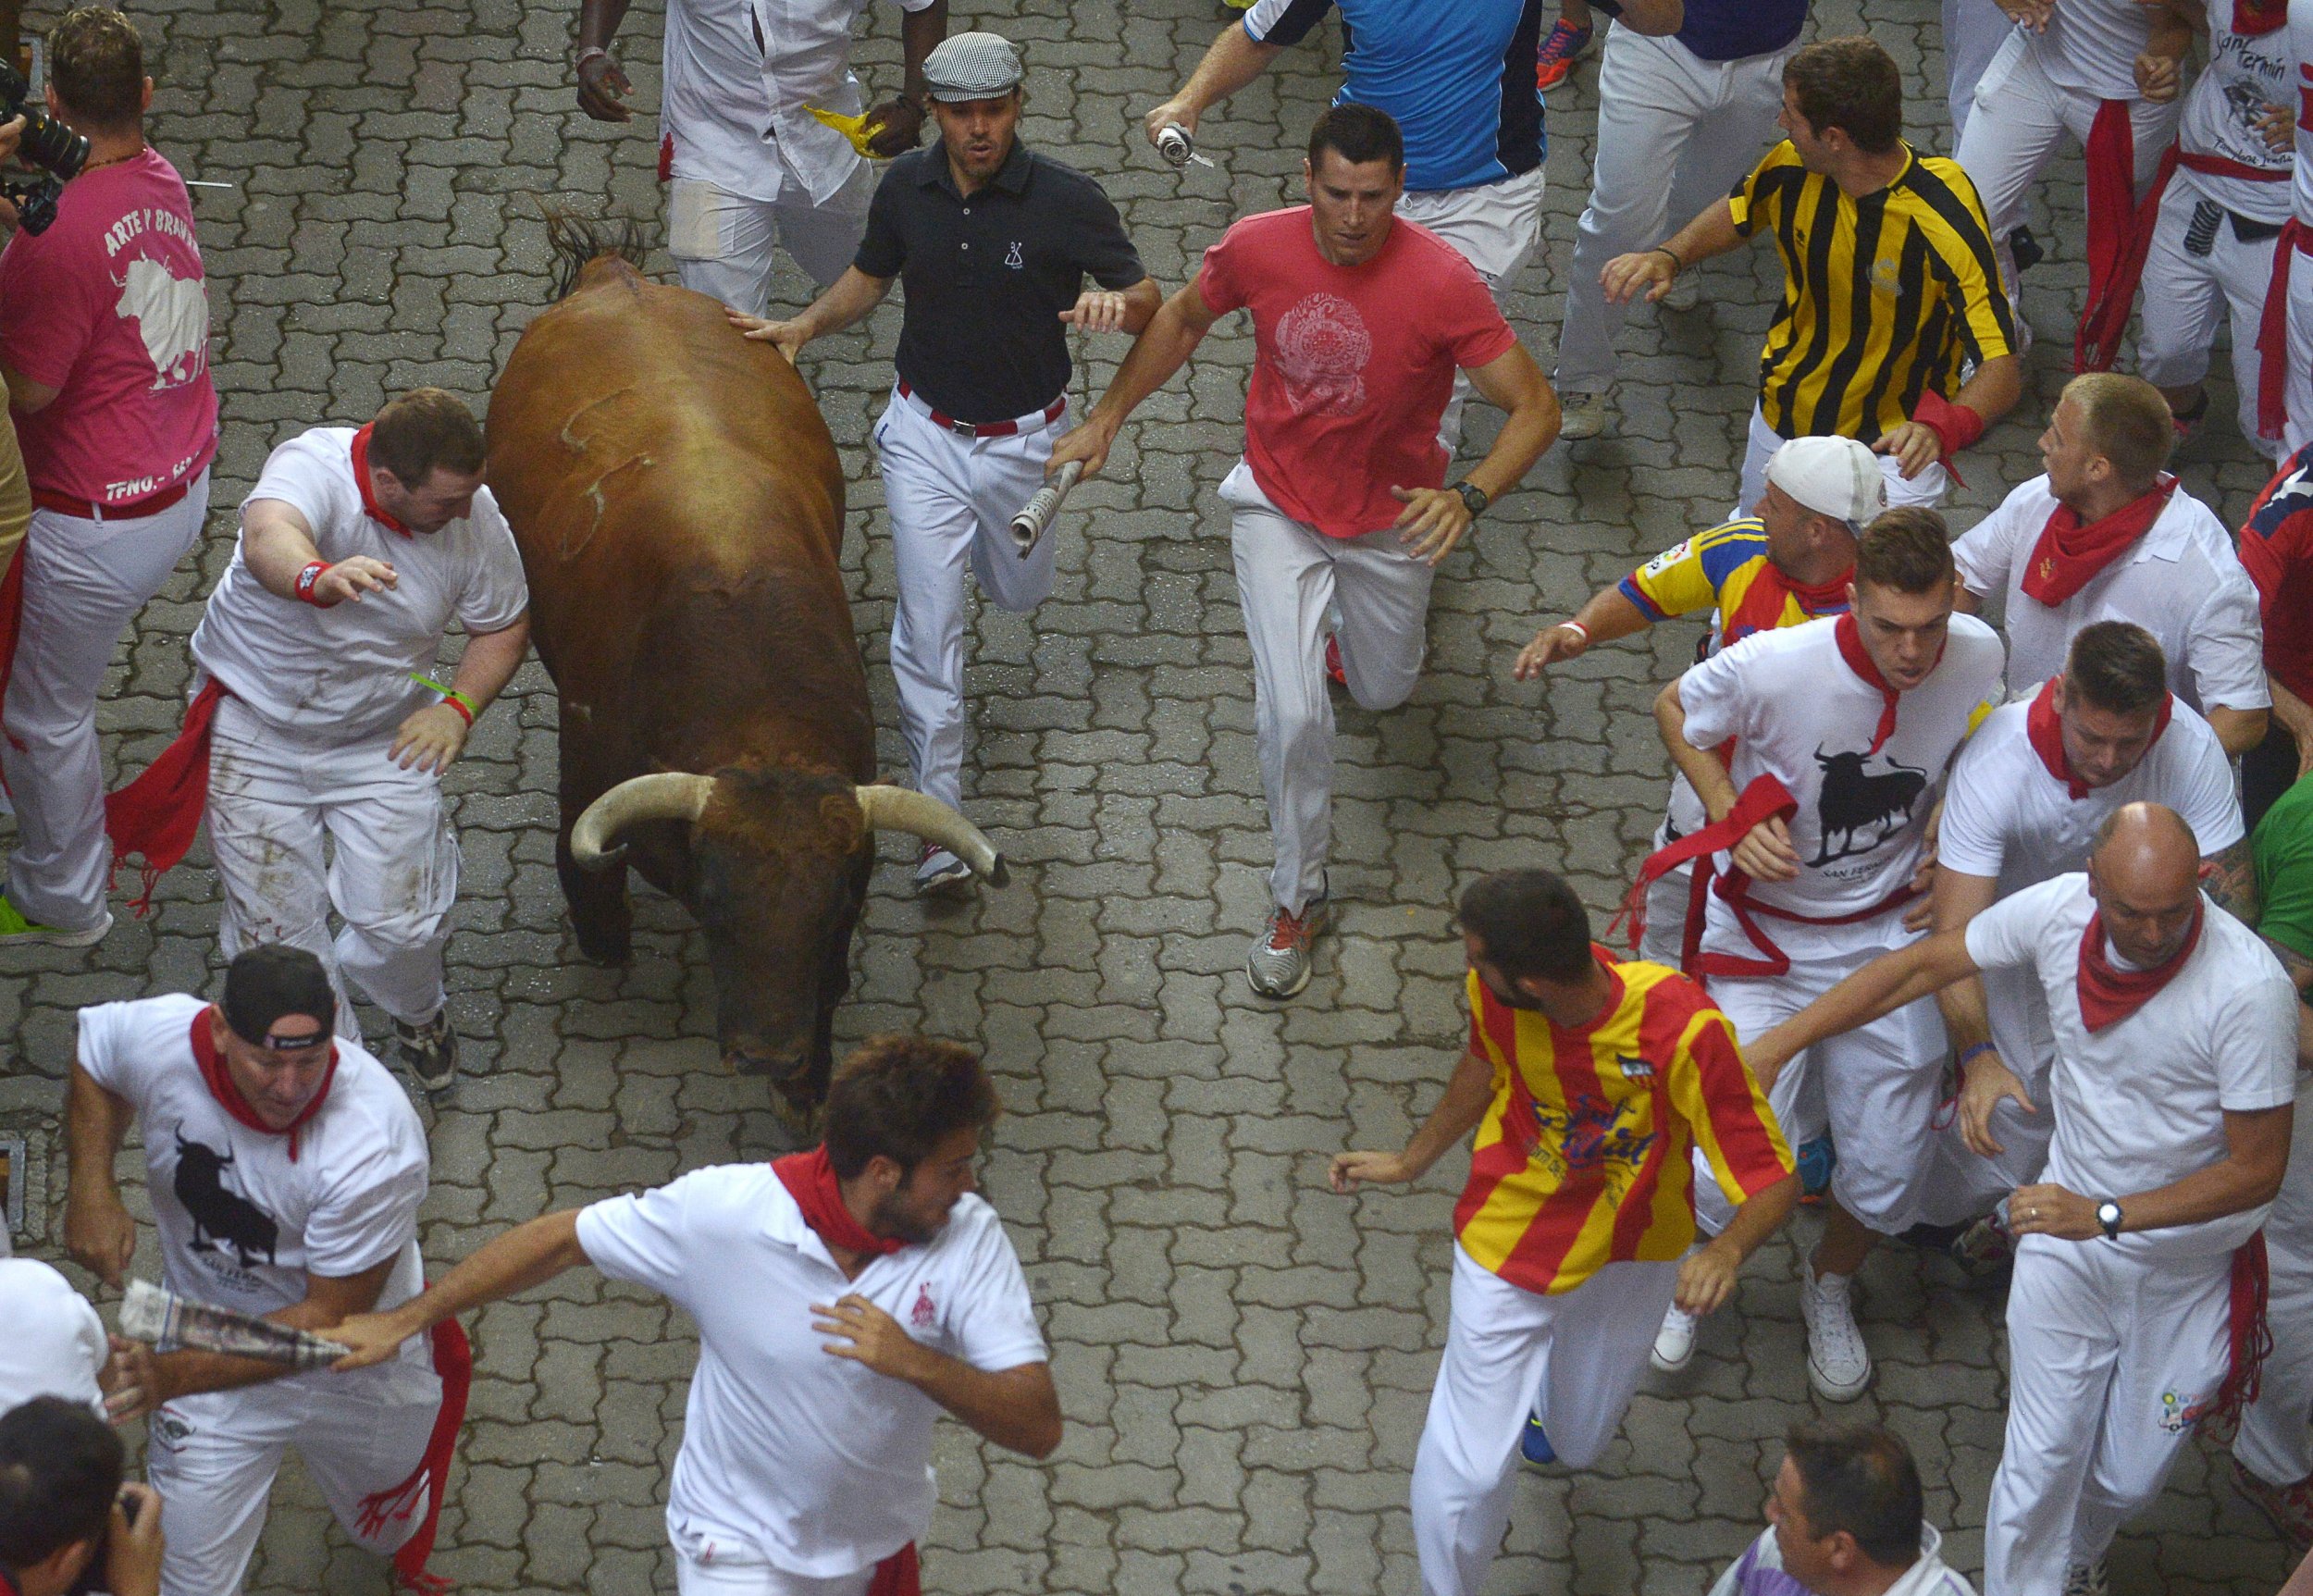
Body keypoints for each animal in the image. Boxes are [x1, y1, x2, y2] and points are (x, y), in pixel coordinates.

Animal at [488, 224, 1004, 1115]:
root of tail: (615, 276)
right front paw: (605, 941)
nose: (767, 1052)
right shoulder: (583, 756)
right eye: (717, 907)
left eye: (830, 915)